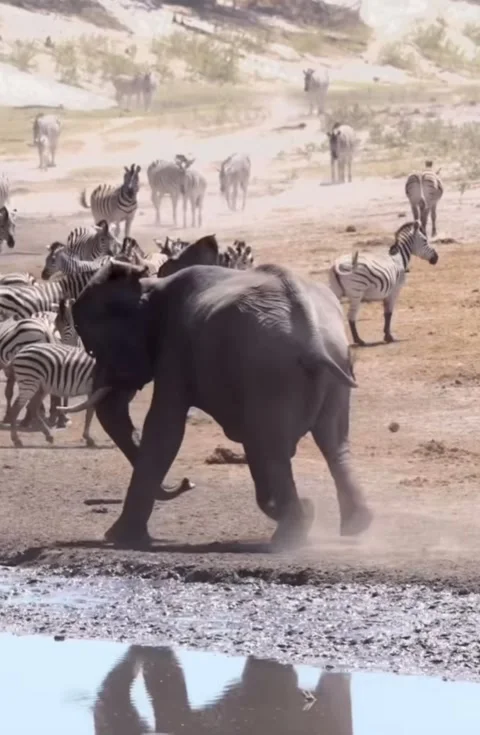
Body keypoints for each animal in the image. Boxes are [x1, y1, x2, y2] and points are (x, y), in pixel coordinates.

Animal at [63, 250, 373, 550]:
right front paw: (305, 509)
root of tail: (311, 332)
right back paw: (347, 525)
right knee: (329, 442)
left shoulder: (175, 347)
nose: (187, 482)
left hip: (271, 369)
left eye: (92, 349)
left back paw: (290, 535)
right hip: (332, 364)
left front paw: (117, 538)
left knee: (273, 447)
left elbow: (164, 429)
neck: (150, 287)